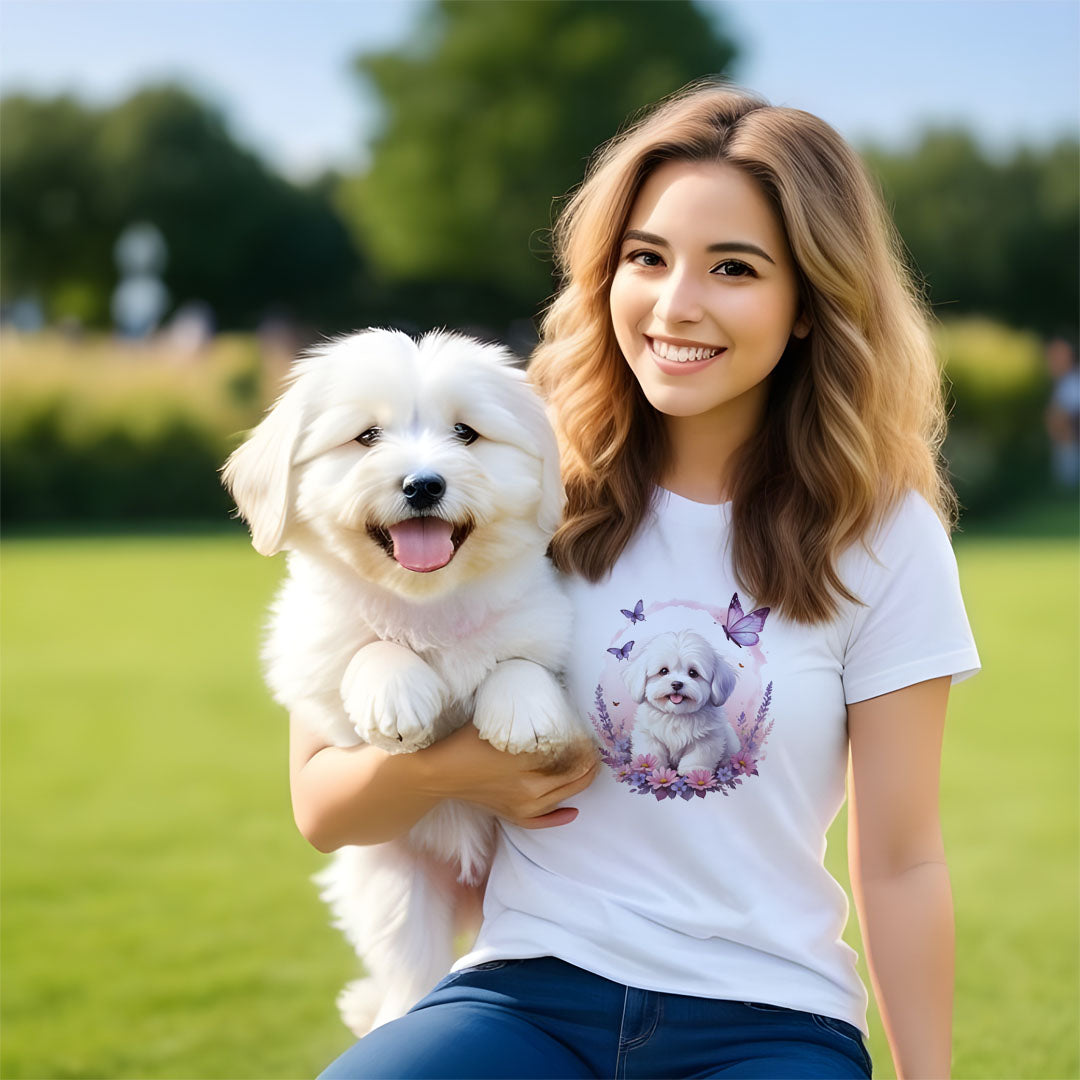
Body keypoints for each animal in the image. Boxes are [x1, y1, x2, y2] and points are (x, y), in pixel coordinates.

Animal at [222, 328, 587, 1036]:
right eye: (367, 437)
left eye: (465, 434)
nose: (423, 485)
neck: (426, 603)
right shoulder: (312, 662)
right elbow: (367, 649)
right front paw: (395, 692)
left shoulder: (549, 621)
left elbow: (522, 657)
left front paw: (523, 713)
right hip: (392, 883)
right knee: (408, 972)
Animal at [626, 630, 743, 777]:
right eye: (663, 671)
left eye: (693, 673)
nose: (677, 684)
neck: (676, 715)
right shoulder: (648, 734)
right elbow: (651, 751)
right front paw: (649, 767)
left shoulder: (706, 738)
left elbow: (699, 754)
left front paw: (695, 771)